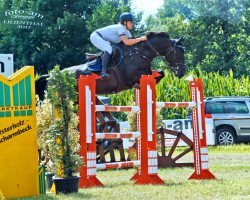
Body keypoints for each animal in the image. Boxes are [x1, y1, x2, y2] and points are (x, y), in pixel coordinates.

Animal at [34, 31, 186, 100]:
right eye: (178, 52)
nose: (182, 73)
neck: (140, 53)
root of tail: (51, 77)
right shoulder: (131, 78)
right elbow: (152, 75)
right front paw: (140, 86)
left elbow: (160, 72)